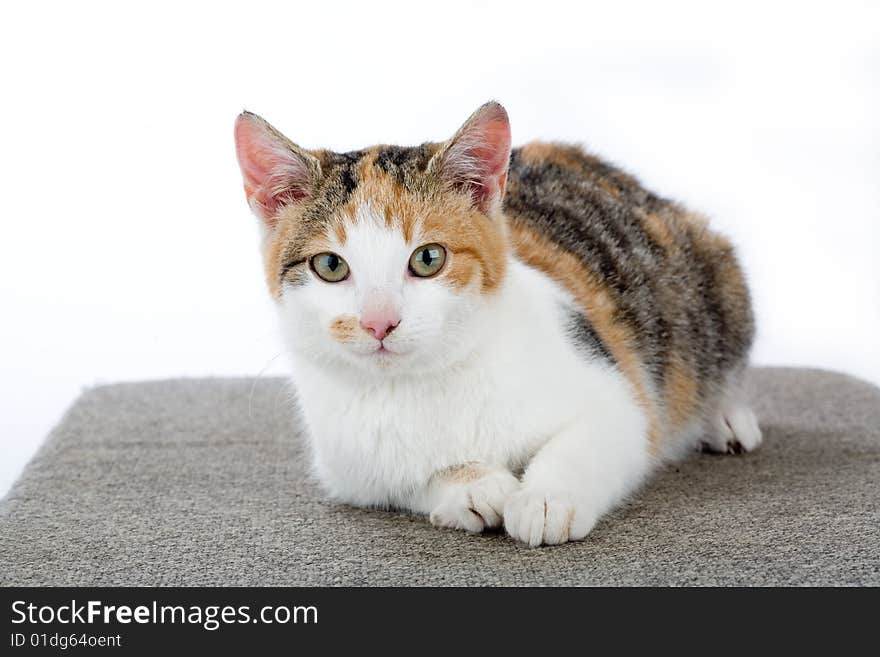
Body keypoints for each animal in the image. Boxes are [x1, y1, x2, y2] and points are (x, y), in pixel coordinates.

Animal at [235, 101, 764, 544]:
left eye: (428, 258)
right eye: (329, 265)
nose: (379, 323)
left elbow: (595, 436)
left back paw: (724, 419)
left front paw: (546, 499)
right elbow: (404, 478)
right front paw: (471, 486)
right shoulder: (349, 469)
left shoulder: (618, 392)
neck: (419, 385)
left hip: (711, 279)